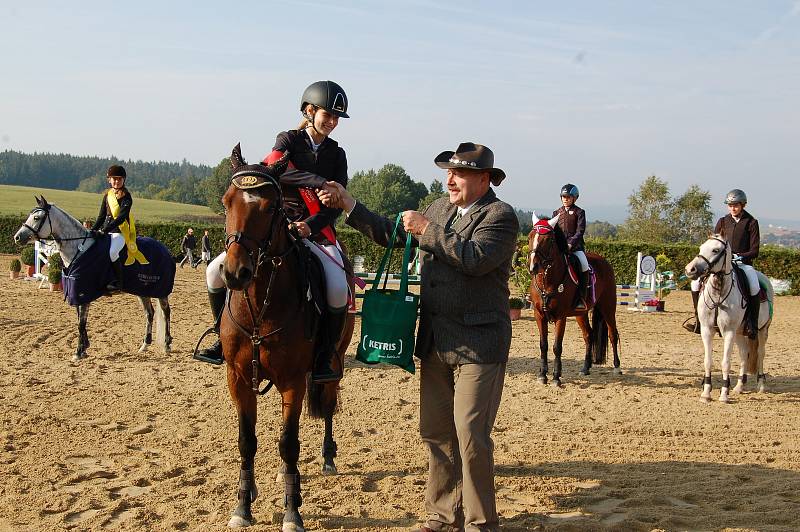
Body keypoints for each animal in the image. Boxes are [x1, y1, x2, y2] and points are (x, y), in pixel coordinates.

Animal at [12, 196, 173, 362]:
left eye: (37, 218)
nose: (17, 237)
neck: (79, 248)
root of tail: (164, 249)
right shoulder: (77, 293)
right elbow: (80, 321)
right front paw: (84, 348)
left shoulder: (83, 293)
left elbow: (81, 323)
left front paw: (78, 352)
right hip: (142, 290)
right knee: (149, 313)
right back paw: (145, 345)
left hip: (161, 292)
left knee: (166, 312)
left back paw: (167, 345)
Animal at [220, 143, 354, 528]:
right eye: (227, 201)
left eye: (270, 208)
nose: (236, 273)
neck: (259, 307)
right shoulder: (238, 378)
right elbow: (247, 441)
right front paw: (242, 505)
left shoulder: (292, 381)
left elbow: (288, 443)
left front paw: (293, 511)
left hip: (334, 364)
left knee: (329, 404)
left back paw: (327, 458)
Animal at [528, 213, 620, 386]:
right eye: (530, 237)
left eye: (548, 240)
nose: (533, 267)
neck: (547, 280)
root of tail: (604, 261)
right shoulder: (539, 315)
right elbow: (543, 345)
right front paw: (542, 375)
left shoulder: (561, 317)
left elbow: (557, 347)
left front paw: (556, 377)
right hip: (581, 314)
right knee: (589, 335)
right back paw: (585, 368)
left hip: (608, 307)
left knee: (613, 334)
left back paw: (617, 367)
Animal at [684, 235, 772, 402]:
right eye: (701, 247)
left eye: (715, 250)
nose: (690, 269)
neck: (719, 292)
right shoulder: (707, 330)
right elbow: (708, 361)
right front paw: (706, 393)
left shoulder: (729, 332)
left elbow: (726, 363)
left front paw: (724, 393)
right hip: (740, 333)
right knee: (744, 354)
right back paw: (739, 386)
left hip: (762, 330)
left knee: (760, 354)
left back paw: (761, 385)